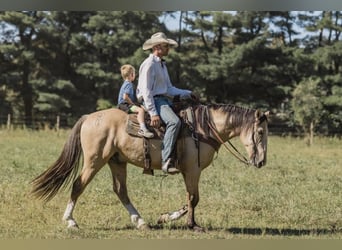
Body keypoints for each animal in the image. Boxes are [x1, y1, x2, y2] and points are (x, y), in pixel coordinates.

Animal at [30, 102, 270, 231]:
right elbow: (194, 198)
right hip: (94, 160)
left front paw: (166, 217)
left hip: (116, 162)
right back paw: (70, 221)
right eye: (260, 132)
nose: (261, 162)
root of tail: (89, 117)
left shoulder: (189, 171)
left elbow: (189, 199)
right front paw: (192, 225)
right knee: (78, 185)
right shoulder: (193, 169)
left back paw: (140, 222)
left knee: (121, 191)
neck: (202, 128)